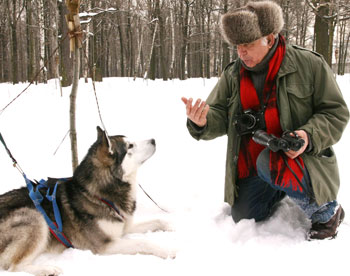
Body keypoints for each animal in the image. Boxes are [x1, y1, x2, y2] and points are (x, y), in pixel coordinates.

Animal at [0, 127, 174, 276]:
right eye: (130, 146)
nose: (153, 140)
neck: (97, 194)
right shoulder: (105, 245)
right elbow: (143, 243)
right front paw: (169, 251)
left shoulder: (125, 227)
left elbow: (159, 221)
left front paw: (172, 226)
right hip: (35, 217)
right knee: (14, 267)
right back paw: (47, 269)